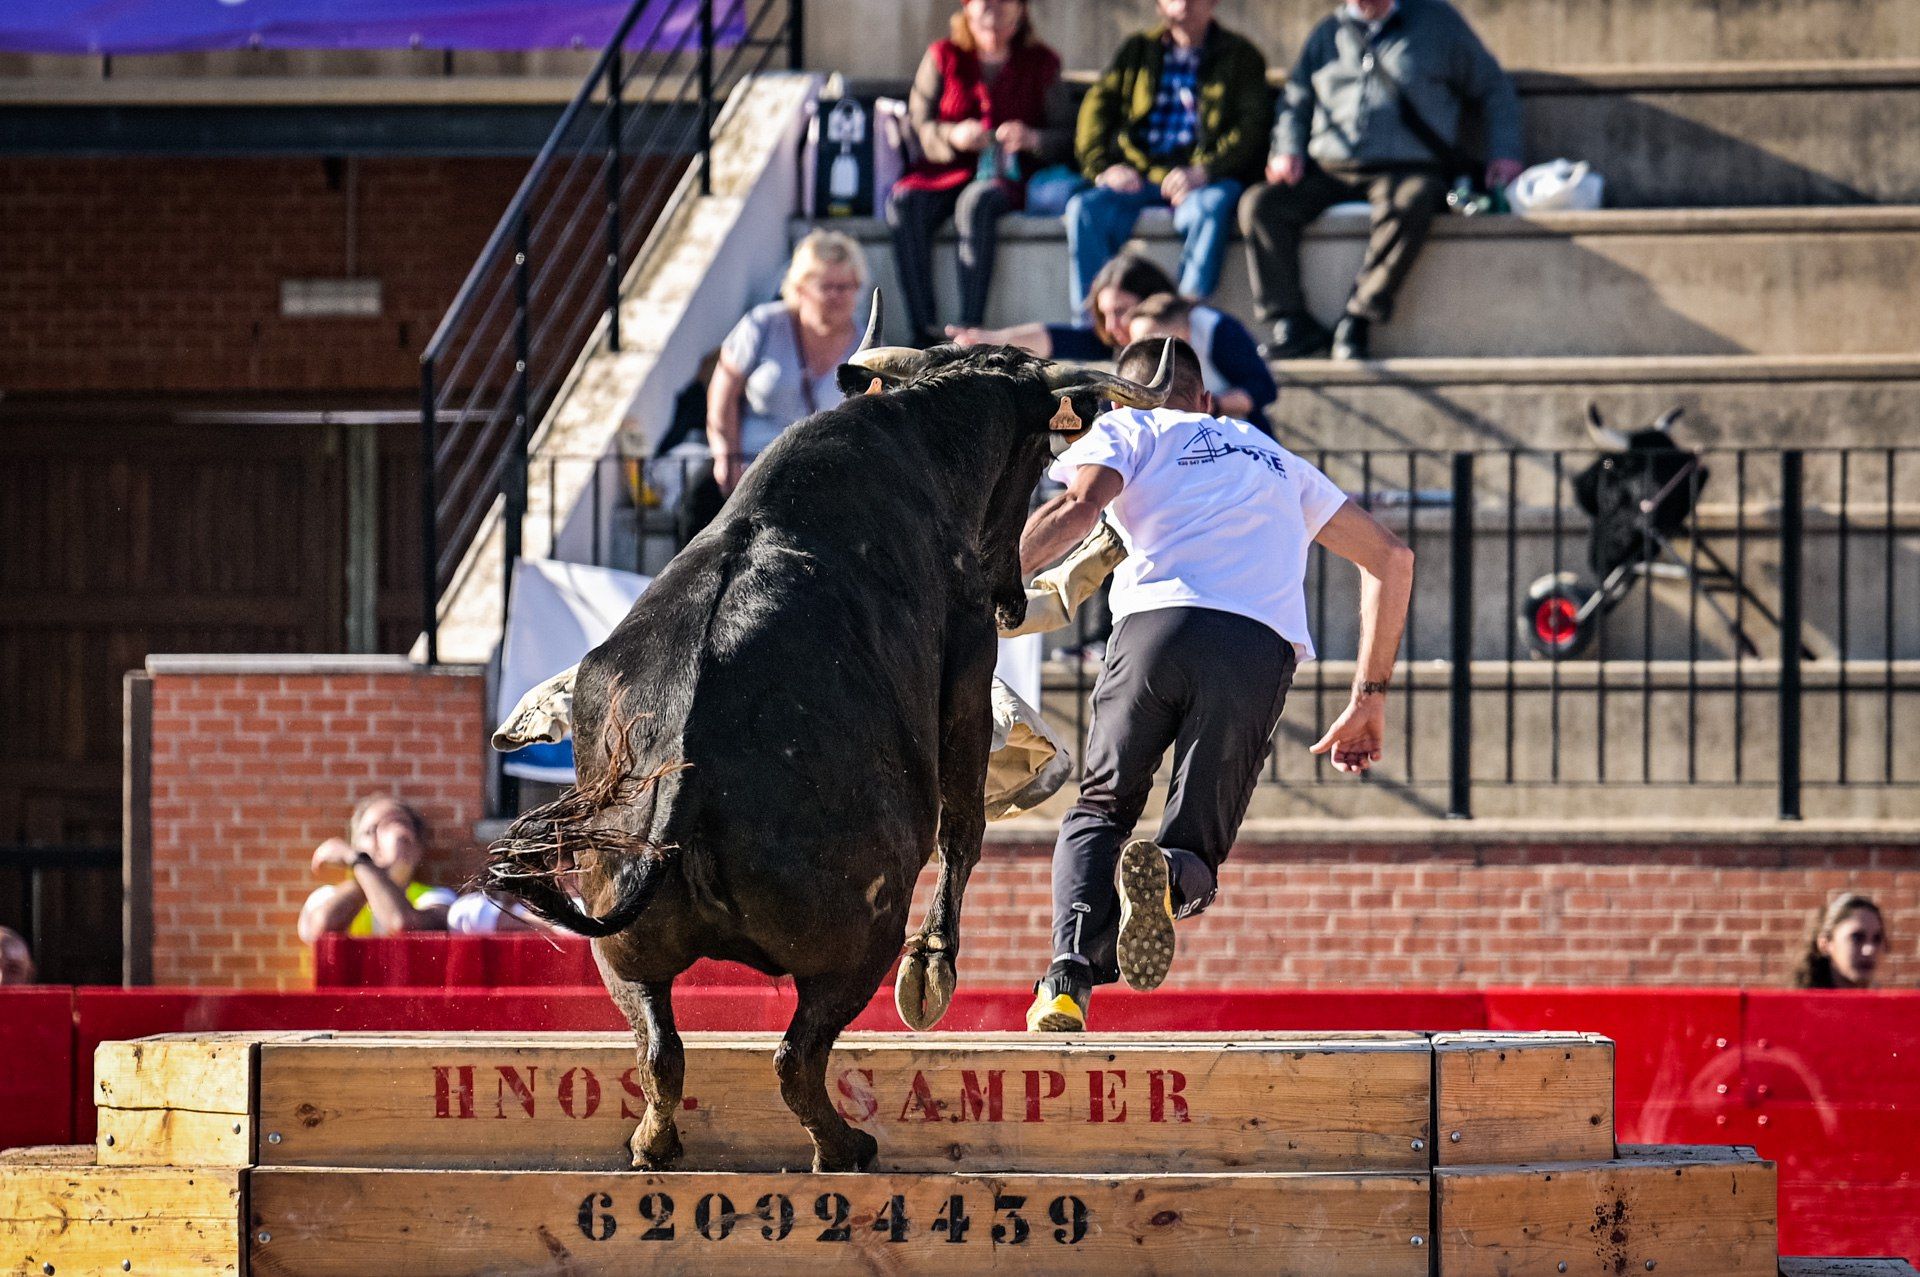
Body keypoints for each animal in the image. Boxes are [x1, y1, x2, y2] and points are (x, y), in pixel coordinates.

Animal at [483, 326, 1167, 1167]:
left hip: (622, 947)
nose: (1012, 596)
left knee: (663, 1050)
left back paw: (656, 1140)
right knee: (796, 1056)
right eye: (1040, 455)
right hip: (857, 937)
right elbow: (963, 826)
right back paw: (845, 1141)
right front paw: (932, 969)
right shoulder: (970, 661)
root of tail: (684, 776)